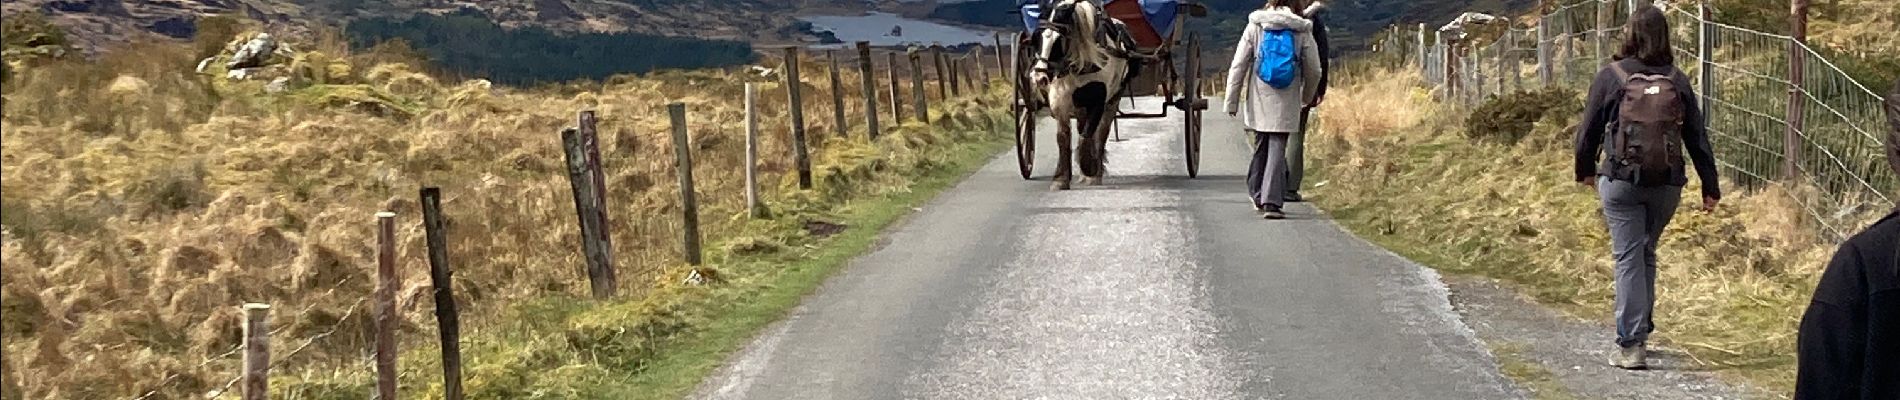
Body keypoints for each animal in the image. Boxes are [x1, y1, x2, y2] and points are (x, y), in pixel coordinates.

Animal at [1033, 0, 1132, 190]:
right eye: (1037, 37)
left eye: (1058, 40)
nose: (1039, 78)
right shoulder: (1060, 103)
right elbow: (1063, 138)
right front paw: (1061, 179)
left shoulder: (1098, 102)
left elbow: (1087, 135)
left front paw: (1090, 168)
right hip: (1080, 106)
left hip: (1113, 100)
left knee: (1101, 133)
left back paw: (1095, 171)